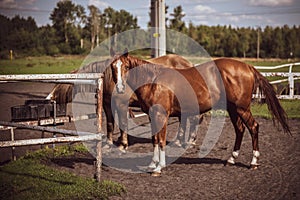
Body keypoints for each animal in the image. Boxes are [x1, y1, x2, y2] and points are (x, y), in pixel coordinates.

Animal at [47, 52, 192, 149]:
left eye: (59, 85)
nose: (49, 97)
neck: (110, 80)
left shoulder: (121, 104)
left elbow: (122, 123)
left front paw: (123, 144)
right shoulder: (107, 105)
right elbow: (110, 124)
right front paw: (108, 143)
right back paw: (180, 141)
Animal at [110, 49, 290, 176]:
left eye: (126, 67)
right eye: (113, 67)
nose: (120, 88)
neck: (154, 81)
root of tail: (248, 67)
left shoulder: (161, 116)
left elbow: (160, 141)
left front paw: (158, 168)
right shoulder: (152, 116)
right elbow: (155, 140)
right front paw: (152, 164)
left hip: (242, 108)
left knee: (253, 127)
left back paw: (253, 162)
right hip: (233, 109)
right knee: (240, 129)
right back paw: (231, 159)